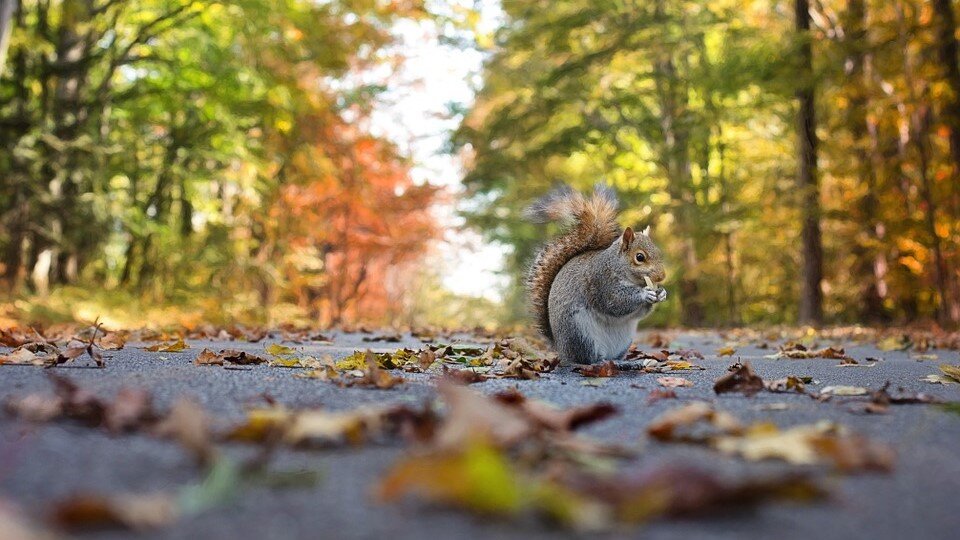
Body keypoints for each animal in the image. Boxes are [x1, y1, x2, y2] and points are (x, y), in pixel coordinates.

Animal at [524, 184, 668, 364]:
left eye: (659, 252)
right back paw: (602, 362)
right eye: (640, 257)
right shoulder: (601, 281)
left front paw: (661, 293)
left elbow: (639, 312)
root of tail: (561, 349)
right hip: (580, 333)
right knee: (587, 358)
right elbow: (615, 302)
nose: (662, 276)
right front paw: (645, 293)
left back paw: (622, 361)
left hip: (624, 340)